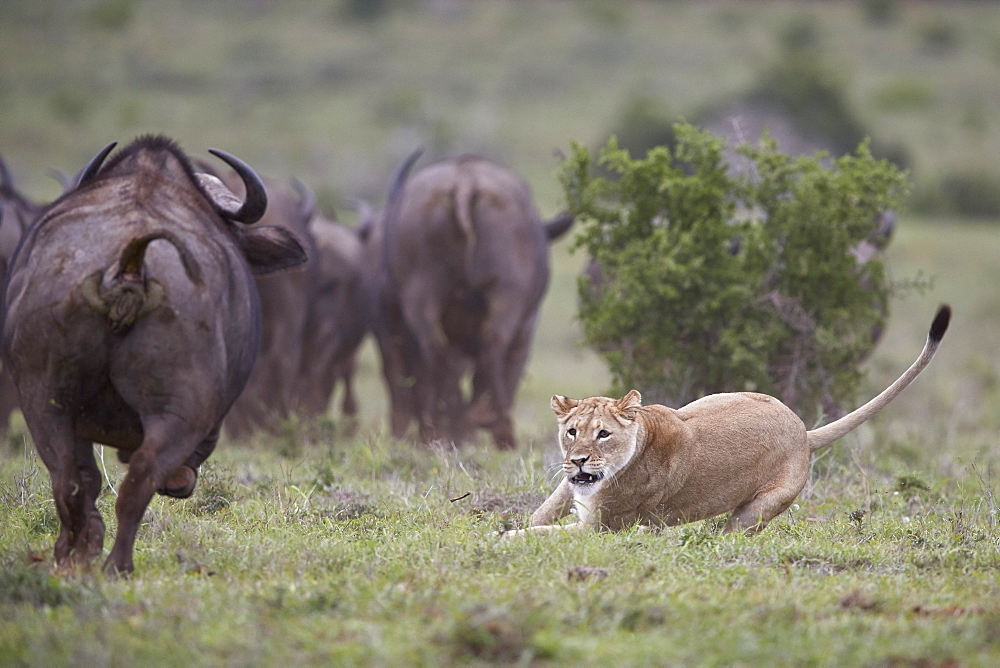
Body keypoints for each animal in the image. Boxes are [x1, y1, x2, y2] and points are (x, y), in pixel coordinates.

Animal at [0, 137, 306, 576]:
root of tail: (129, 267)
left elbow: (87, 478)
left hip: (44, 400)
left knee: (70, 480)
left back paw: (76, 556)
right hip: (182, 410)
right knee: (138, 480)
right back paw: (119, 564)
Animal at [366, 155, 572, 452]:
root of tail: (464, 182)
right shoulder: (525, 332)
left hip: (422, 298)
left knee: (435, 352)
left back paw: (444, 425)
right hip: (508, 295)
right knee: (492, 343)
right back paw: (492, 423)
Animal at [512, 306, 948, 536]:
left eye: (603, 434)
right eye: (571, 433)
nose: (579, 460)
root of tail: (803, 431)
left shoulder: (603, 528)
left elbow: (542, 534)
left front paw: (507, 536)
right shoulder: (572, 490)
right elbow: (543, 513)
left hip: (756, 510)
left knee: (729, 532)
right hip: (705, 400)